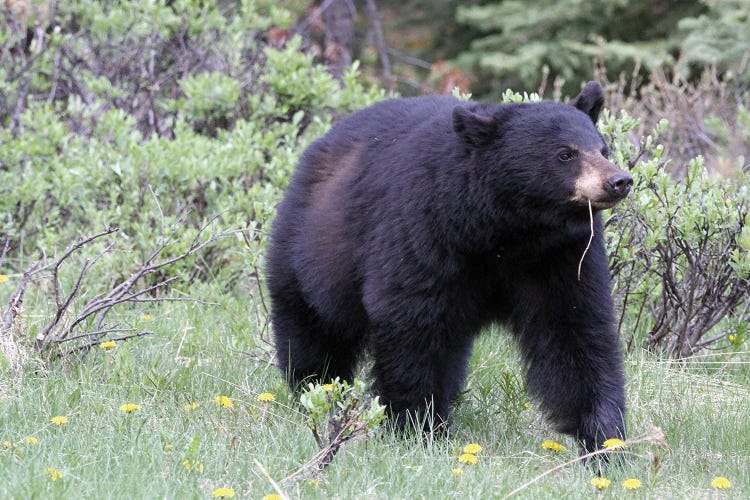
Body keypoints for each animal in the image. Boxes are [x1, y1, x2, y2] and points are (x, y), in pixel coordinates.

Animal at [268, 80, 632, 452]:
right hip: (313, 254)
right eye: (565, 154)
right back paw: (315, 391)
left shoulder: (561, 256)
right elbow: (413, 325)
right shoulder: (424, 232)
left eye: (602, 148)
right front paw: (418, 426)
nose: (619, 180)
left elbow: (574, 331)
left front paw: (605, 440)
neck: (508, 232)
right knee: (314, 332)